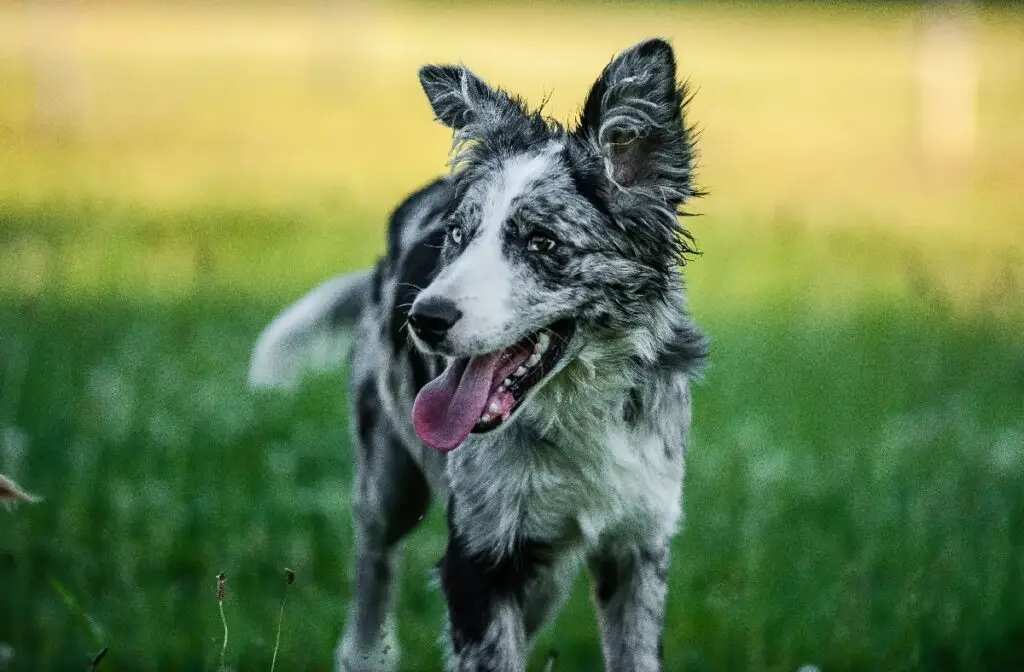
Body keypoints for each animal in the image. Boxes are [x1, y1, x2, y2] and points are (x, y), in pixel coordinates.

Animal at [251, 38, 708, 672]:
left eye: (542, 242)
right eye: (456, 237)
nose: (422, 319)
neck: (575, 413)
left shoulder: (638, 547)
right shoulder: (479, 556)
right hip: (387, 481)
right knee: (373, 567)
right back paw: (367, 650)